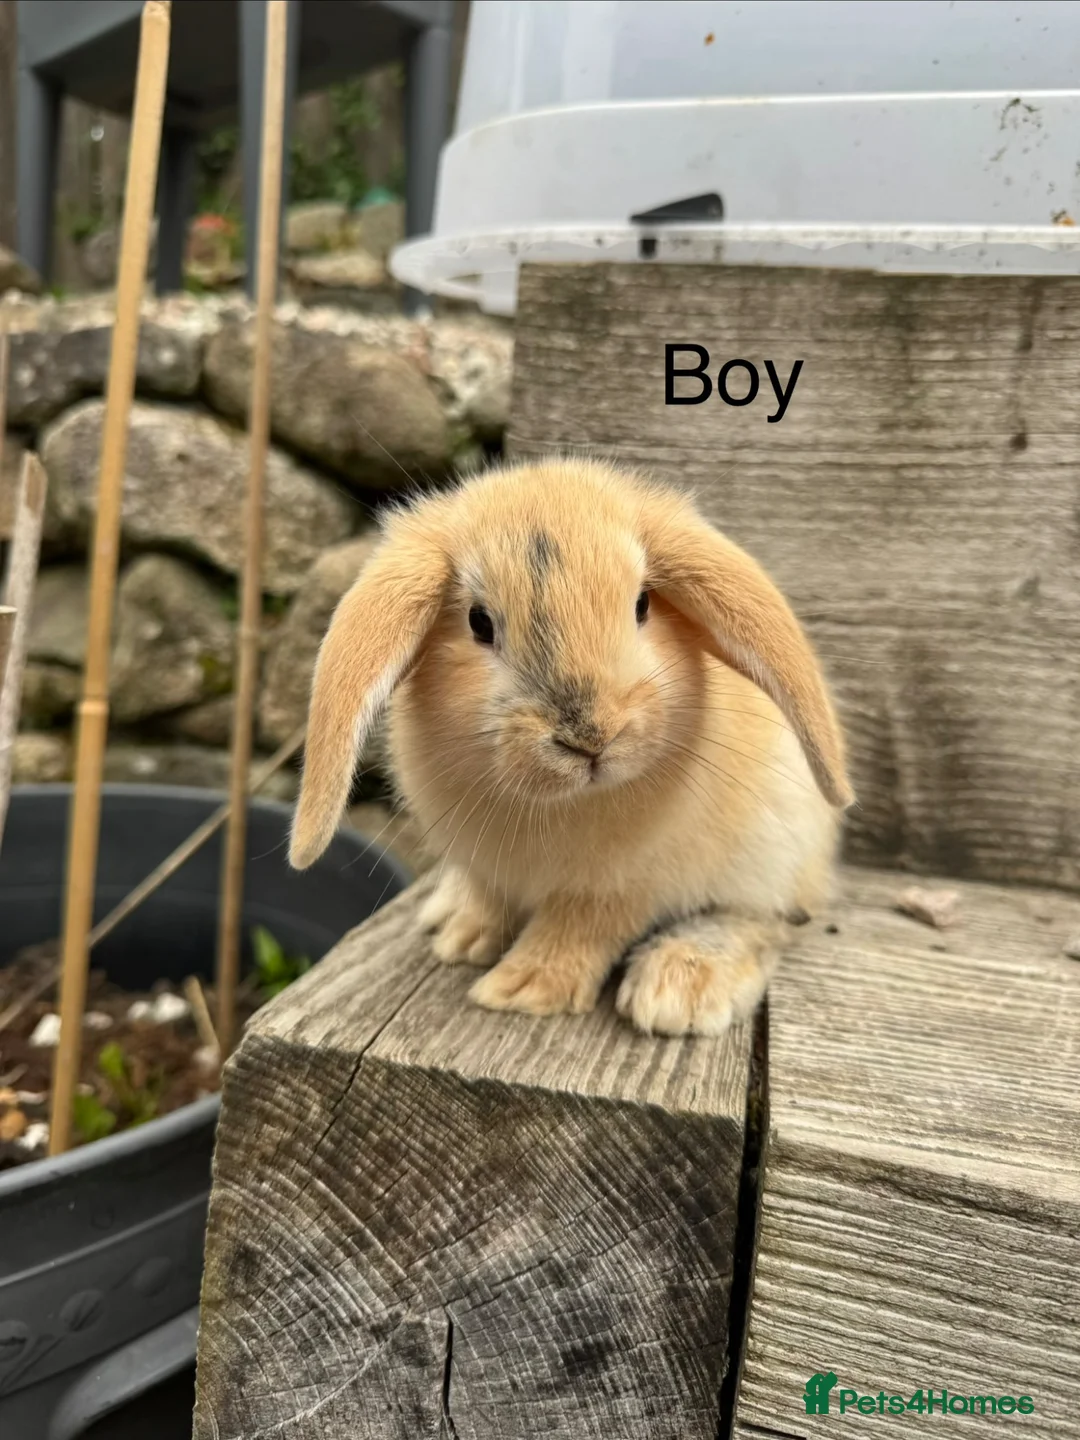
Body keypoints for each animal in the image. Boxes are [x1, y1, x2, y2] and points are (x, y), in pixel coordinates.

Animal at [289, 457, 852, 1036]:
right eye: (478, 622)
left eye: (643, 604)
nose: (590, 737)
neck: (565, 803)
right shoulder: (487, 870)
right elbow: (491, 900)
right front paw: (467, 941)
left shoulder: (618, 889)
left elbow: (577, 930)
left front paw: (521, 989)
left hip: (778, 850)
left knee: (764, 921)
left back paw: (680, 989)